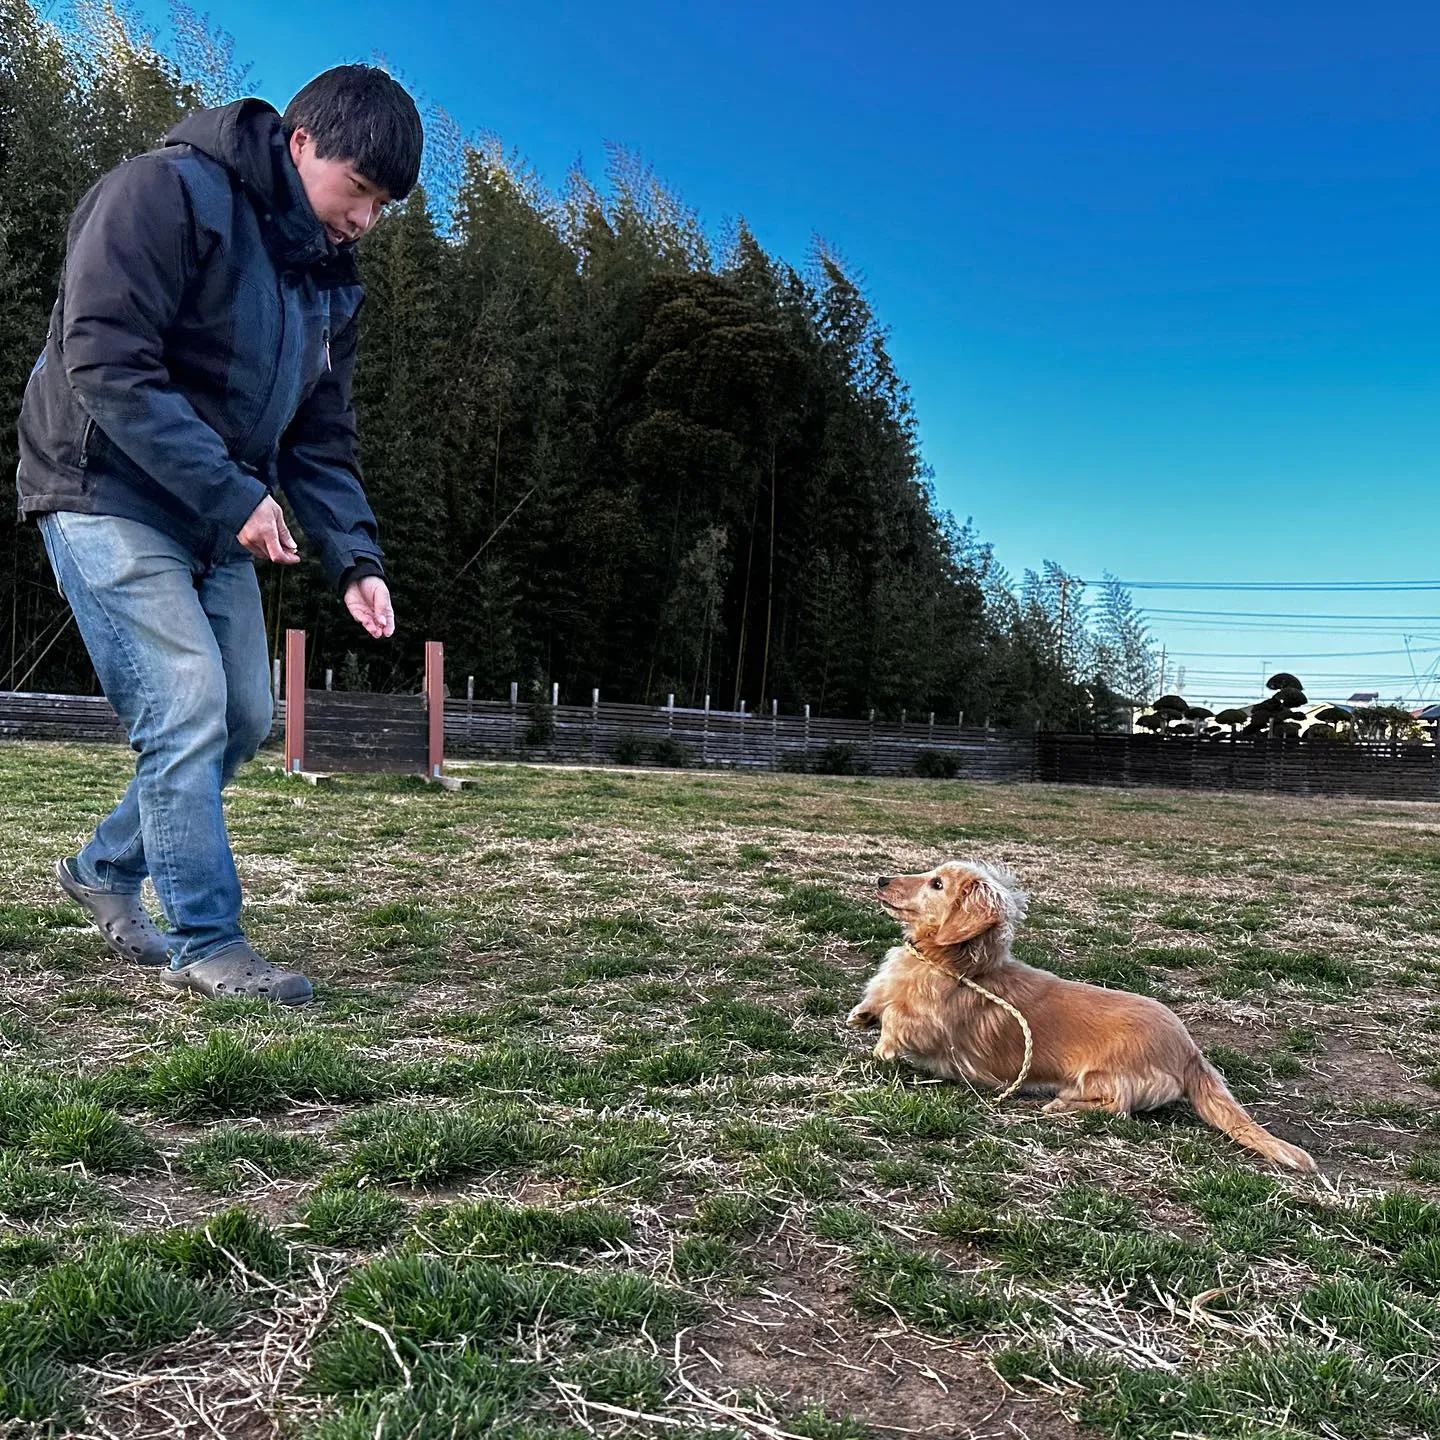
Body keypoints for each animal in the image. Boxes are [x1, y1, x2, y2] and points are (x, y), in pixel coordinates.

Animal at [846, 852, 1319, 1169]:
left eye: (937, 884)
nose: (880, 879)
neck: (954, 963)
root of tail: (1189, 1051)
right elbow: (876, 1004)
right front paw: (863, 1013)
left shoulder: (929, 1029)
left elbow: (895, 1027)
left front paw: (876, 1049)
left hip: (1101, 1076)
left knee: (1117, 1108)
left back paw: (1062, 1105)